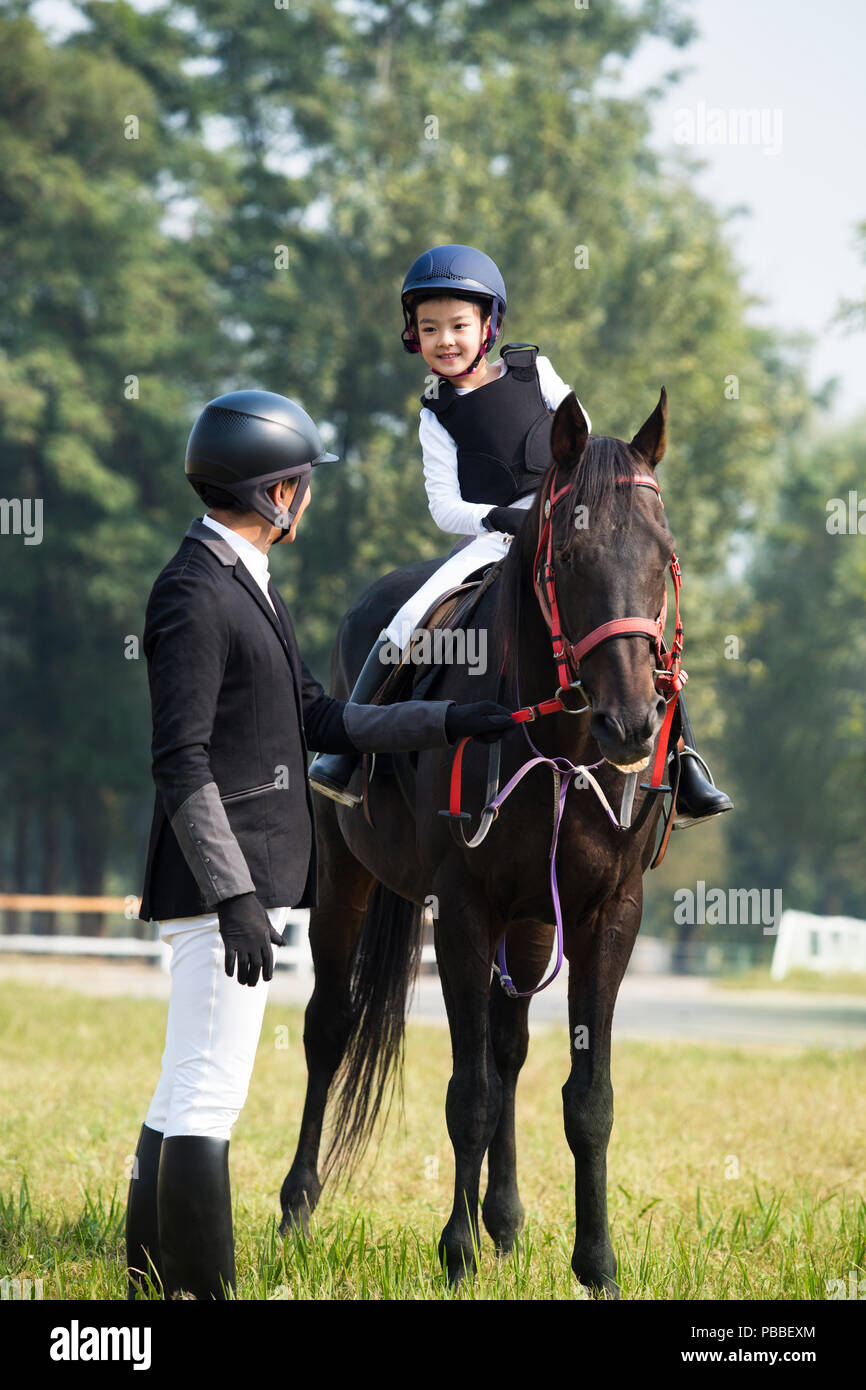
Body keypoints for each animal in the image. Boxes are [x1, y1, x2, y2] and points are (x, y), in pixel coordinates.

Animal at [280, 389, 675, 1289]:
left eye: (664, 554)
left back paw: (505, 1220)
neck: (561, 743)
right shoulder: (460, 909)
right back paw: (299, 1207)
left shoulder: (607, 914)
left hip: (530, 921)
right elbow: (469, 1094)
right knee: (329, 1028)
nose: (633, 724)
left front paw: (595, 1263)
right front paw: (455, 1254)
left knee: (509, 1046)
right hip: (347, 883)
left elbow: (586, 1098)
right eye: (569, 556)